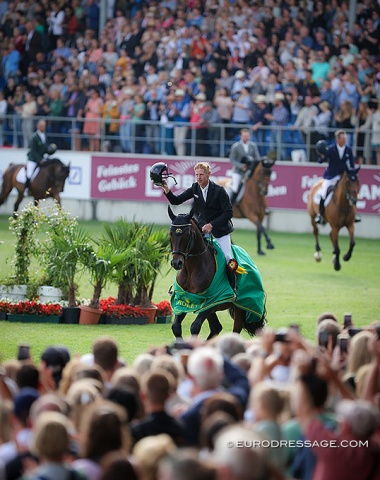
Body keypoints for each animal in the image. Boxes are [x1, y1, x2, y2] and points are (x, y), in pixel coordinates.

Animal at [168, 208, 266, 340]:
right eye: (170, 234)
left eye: (188, 235)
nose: (176, 263)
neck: (192, 269)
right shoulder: (184, 299)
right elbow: (176, 327)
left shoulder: (211, 301)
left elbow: (195, 327)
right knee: (216, 328)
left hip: (240, 308)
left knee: (234, 330)